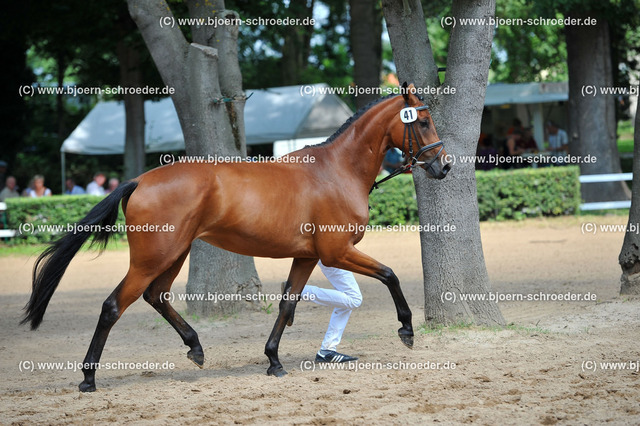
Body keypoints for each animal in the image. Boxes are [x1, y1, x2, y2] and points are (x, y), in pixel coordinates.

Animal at [21, 81, 450, 392]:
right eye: (423, 121)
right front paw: (407, 329)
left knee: (156, 296)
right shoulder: (336, 252)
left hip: (173, 255)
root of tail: (140, 180)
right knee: (114, 306)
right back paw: (88, 378)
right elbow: (390, 274)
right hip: (151, 258)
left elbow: (286, 303)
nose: (444, 166)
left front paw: (274, 360)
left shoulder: (308, 256)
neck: (336, 171)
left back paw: (195, 348)